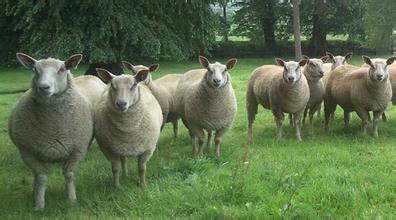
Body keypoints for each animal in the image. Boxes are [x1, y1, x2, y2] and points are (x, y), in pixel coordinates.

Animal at [9, 52, 93, 210]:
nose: (43, 87)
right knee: (36, 175)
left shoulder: (77, 151)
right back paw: (34, 193)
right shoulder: (28, 153)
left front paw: (72, 200)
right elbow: (42, 178)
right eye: (35, 70)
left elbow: (69, 175)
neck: (53, 125)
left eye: (62, 69)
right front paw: (39, 205)